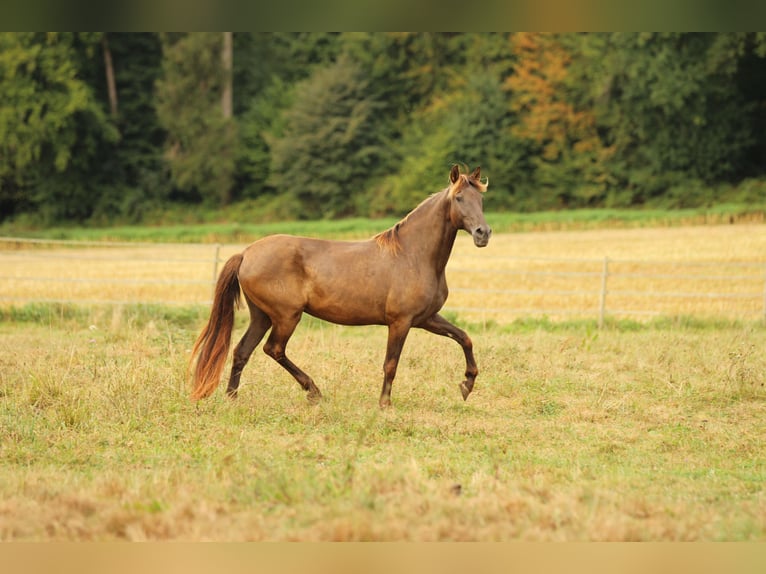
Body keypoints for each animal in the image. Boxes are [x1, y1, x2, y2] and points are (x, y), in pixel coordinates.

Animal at [189, 165, 496, 410]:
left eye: (481, 199)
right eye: (458, 198)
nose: (483, 233)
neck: (413, 255)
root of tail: (246, 253)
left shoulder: (426, 318)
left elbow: (464, 338)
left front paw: (466, 385)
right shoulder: (400, 322)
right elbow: (391, 363)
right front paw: (385, 404)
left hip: (261, 316)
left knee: (242, 351)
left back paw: (232, 398)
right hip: (286, 316)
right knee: (273, 349)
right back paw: (313, 392)